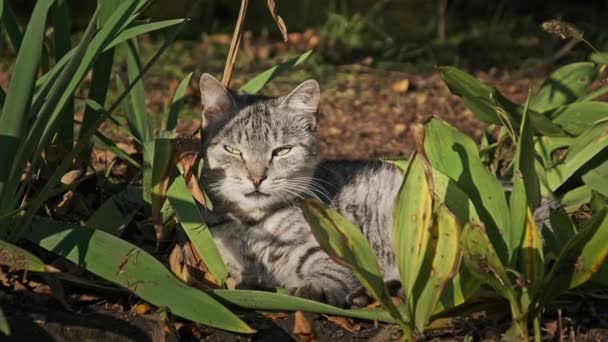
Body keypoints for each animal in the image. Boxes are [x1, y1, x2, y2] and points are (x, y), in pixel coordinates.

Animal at [197, 73, 402, 306]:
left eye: (282, 151)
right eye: (232, 150)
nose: (257, 178)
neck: (253, 223)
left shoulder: (332, 250)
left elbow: (330, 273)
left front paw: (313, 289)